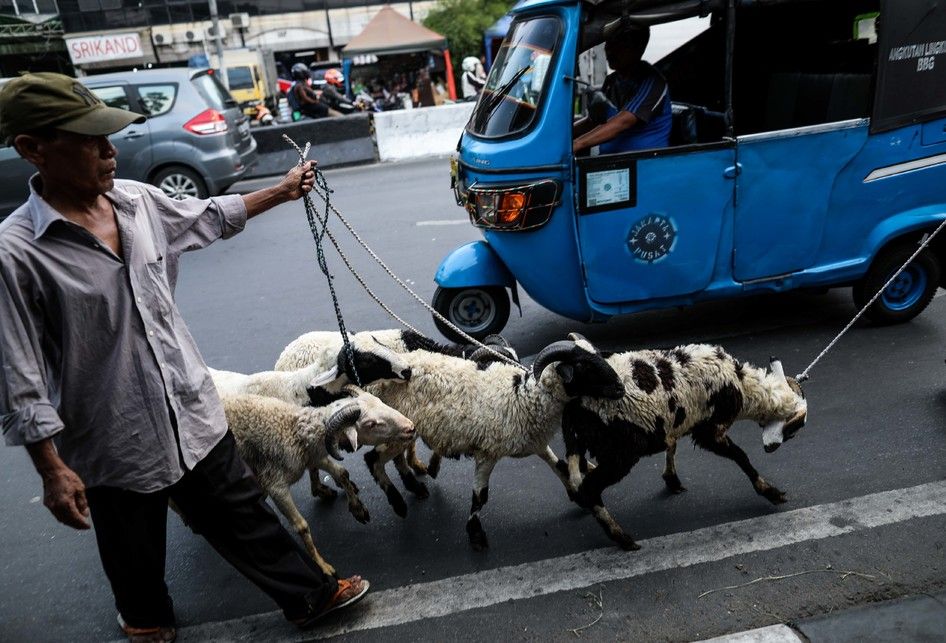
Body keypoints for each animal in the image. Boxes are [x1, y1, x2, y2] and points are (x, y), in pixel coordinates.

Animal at [560, 334, 804, 552]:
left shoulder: (677, 419)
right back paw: (622, 538)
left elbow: (672, 444)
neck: (744, 386)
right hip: (619, 452)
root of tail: (574, 405)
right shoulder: (710, 429)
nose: (772, 448)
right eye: (797, 427)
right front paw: (770, 491)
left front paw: (672, 480)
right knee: (591, 487)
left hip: (587, 444)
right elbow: (740, 456)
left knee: (577, 475)